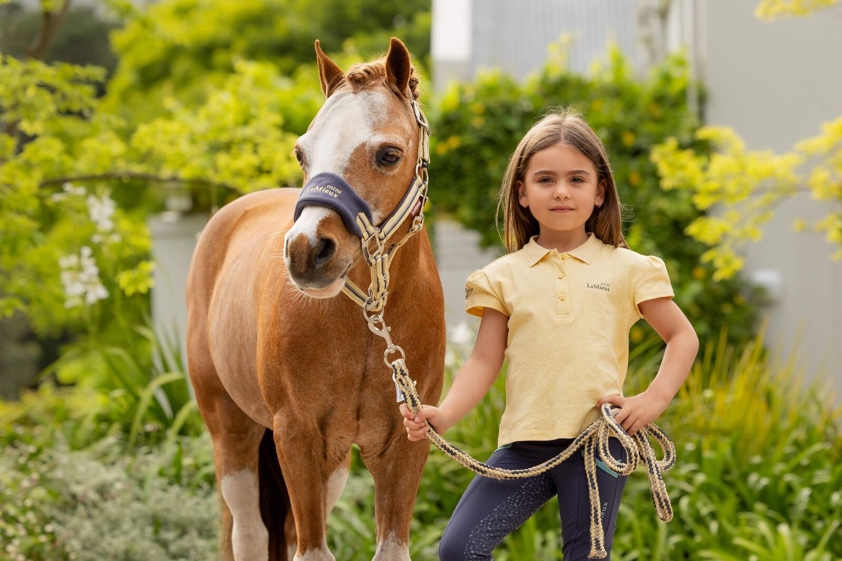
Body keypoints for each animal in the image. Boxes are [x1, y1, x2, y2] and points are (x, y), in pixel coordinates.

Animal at [185, 36, 446, 560]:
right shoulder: (297, 438)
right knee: (250, 532)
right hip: (232, 432)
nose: (306, 251)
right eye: (302, 153)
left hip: (334, 463)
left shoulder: (404, 445)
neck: (368, 330)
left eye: (389, 154)